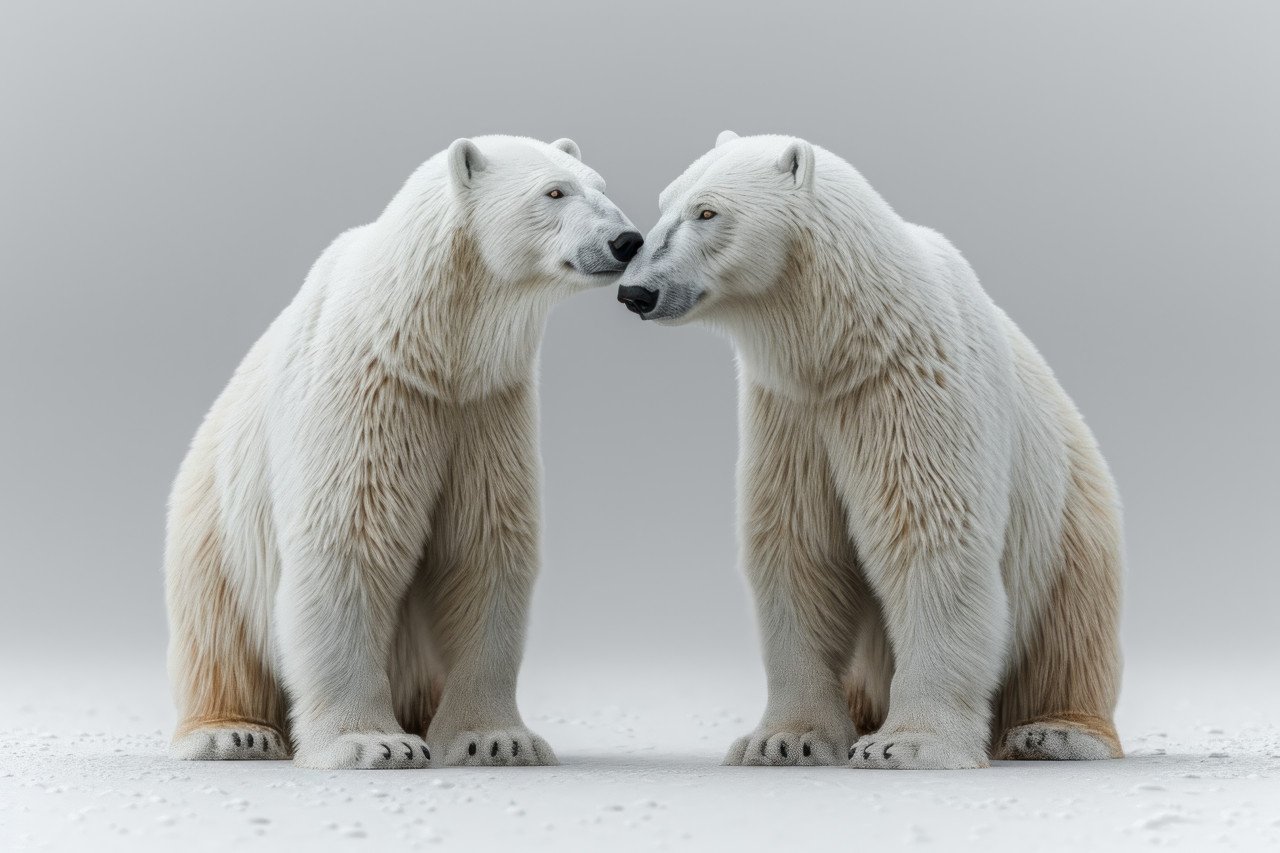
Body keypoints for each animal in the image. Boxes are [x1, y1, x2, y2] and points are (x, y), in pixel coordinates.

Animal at [166, 135, 642, 769]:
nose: (627, 240)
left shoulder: (486, 407)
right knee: (216, 627)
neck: (428, 348)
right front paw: (372, 743)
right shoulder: (370, 395)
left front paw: (498, 739)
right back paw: (232, 733)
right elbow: (350, 542)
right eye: (554, 191)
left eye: (602, 185)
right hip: (215, 520)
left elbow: (484, 550)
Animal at [615, 131, 1123, 769]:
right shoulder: (790, 412)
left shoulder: (909, 389)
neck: (848, 347)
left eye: (708, 212)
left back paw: (1055, 732)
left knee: (1071, 620)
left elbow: (927, 536)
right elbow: (798, 547)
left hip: (1067, 512)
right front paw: (784, 740)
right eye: (665, 203)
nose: (635, 290)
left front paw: (907, 744)